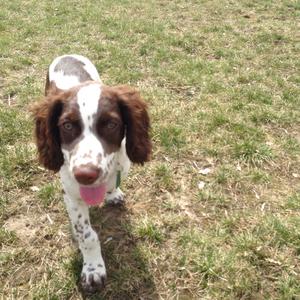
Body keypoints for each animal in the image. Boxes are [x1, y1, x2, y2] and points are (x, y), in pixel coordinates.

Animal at [32, 54, 152, 292]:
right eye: (67, 126)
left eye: (112, 124)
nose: (85, 175)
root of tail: (67, 53)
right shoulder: (71, 195)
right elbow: (86, 235)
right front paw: (93, 270)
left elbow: (113, 183)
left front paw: (113, 194)